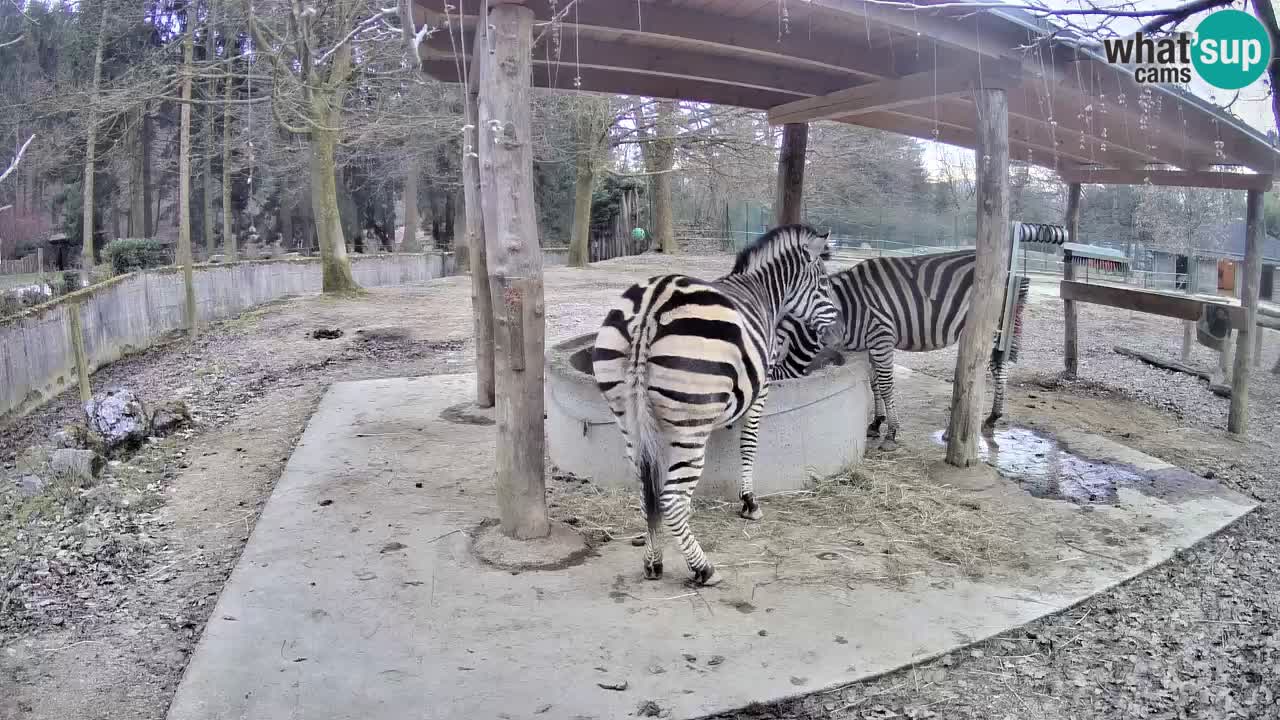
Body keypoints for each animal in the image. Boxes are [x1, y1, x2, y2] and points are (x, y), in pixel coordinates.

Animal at [593, 222, 844, 584]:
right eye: (824, 282)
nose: (839, 331)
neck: (764, 293)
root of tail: (651, 308)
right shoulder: (762, 386)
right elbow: (749, 442)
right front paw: (749, 502)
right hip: (690, 424)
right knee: (670, 499)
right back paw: (703, 568)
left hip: (627, 417)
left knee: (646, 490)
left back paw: (654, 561)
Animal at [768, 249, 1029, 445]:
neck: (847, 307)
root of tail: (1009, 273)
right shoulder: (869, 345)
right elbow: (873, 382)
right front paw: (876, 422)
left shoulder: (881, 336)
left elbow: (885, 385)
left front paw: (892, 432)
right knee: (998, 367)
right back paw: (992, 418)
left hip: (989, 327)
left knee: (992, 369)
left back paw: (956, 430)